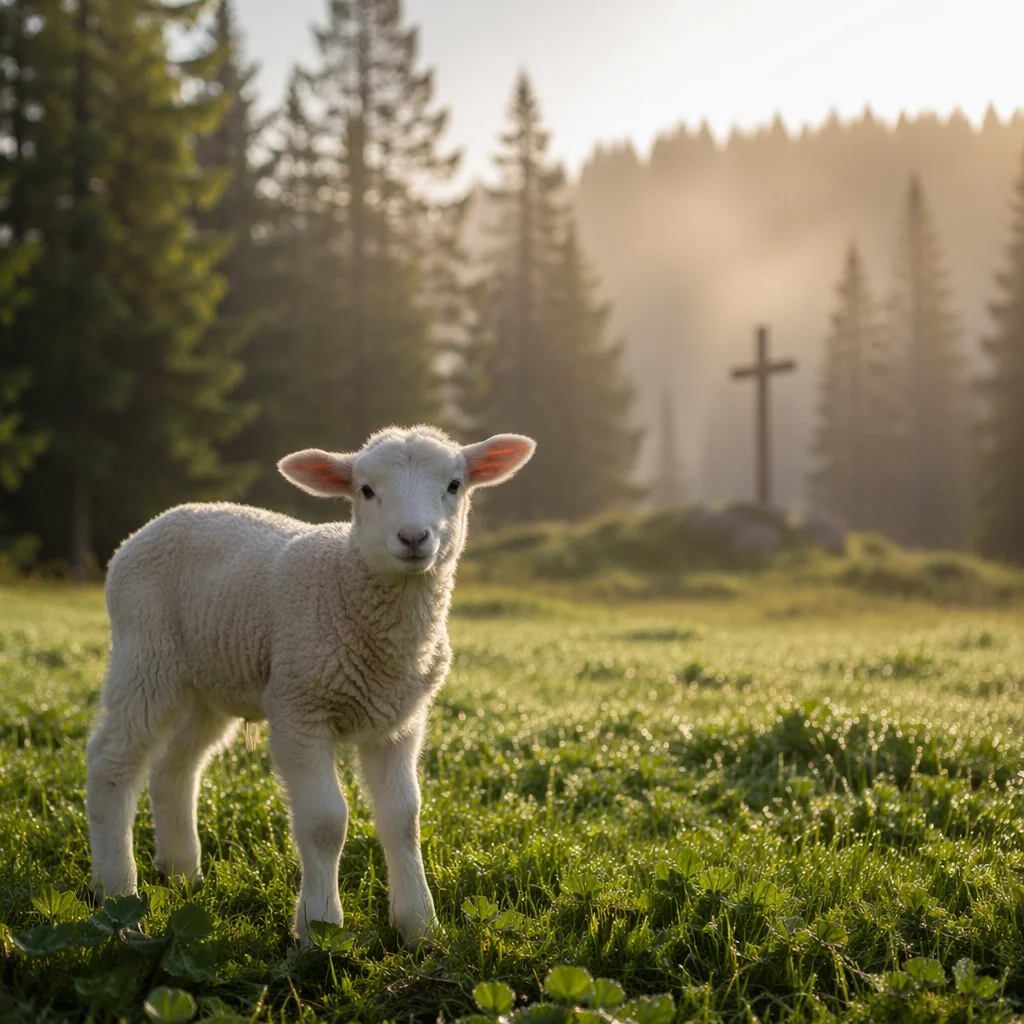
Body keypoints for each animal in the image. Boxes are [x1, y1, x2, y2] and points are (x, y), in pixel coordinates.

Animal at [86, 425, 536, 947]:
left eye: (454, 485)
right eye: (365, 490)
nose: (413, 537)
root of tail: (160, 520)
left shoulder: (399, 722)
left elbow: (404, 819)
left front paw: (419, 926)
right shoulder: (300, 709)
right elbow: (325, 822)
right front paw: (320, 927)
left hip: (209, 680)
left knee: (174, 768)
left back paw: (181, 872)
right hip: (145, 652)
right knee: (112, 761)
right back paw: (117, 894)